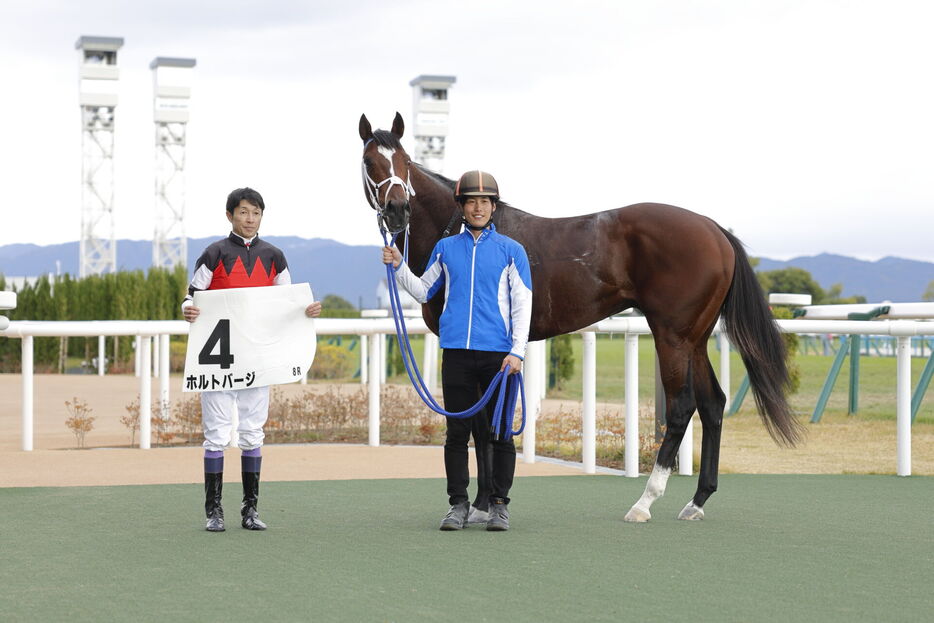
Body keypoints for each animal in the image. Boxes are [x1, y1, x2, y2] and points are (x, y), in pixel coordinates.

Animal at [358, 112, 804, 520]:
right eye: (369, 161)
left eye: (404, 161)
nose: (397, 210)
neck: (470, 230)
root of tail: (714, 230)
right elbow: (484, 424)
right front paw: (483, 505)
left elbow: (483, 424)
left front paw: (483, 506)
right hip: (695, 338)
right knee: (713, 404)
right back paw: (696, 501)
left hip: (672, 336)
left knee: (681, 407)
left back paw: (644, 503)